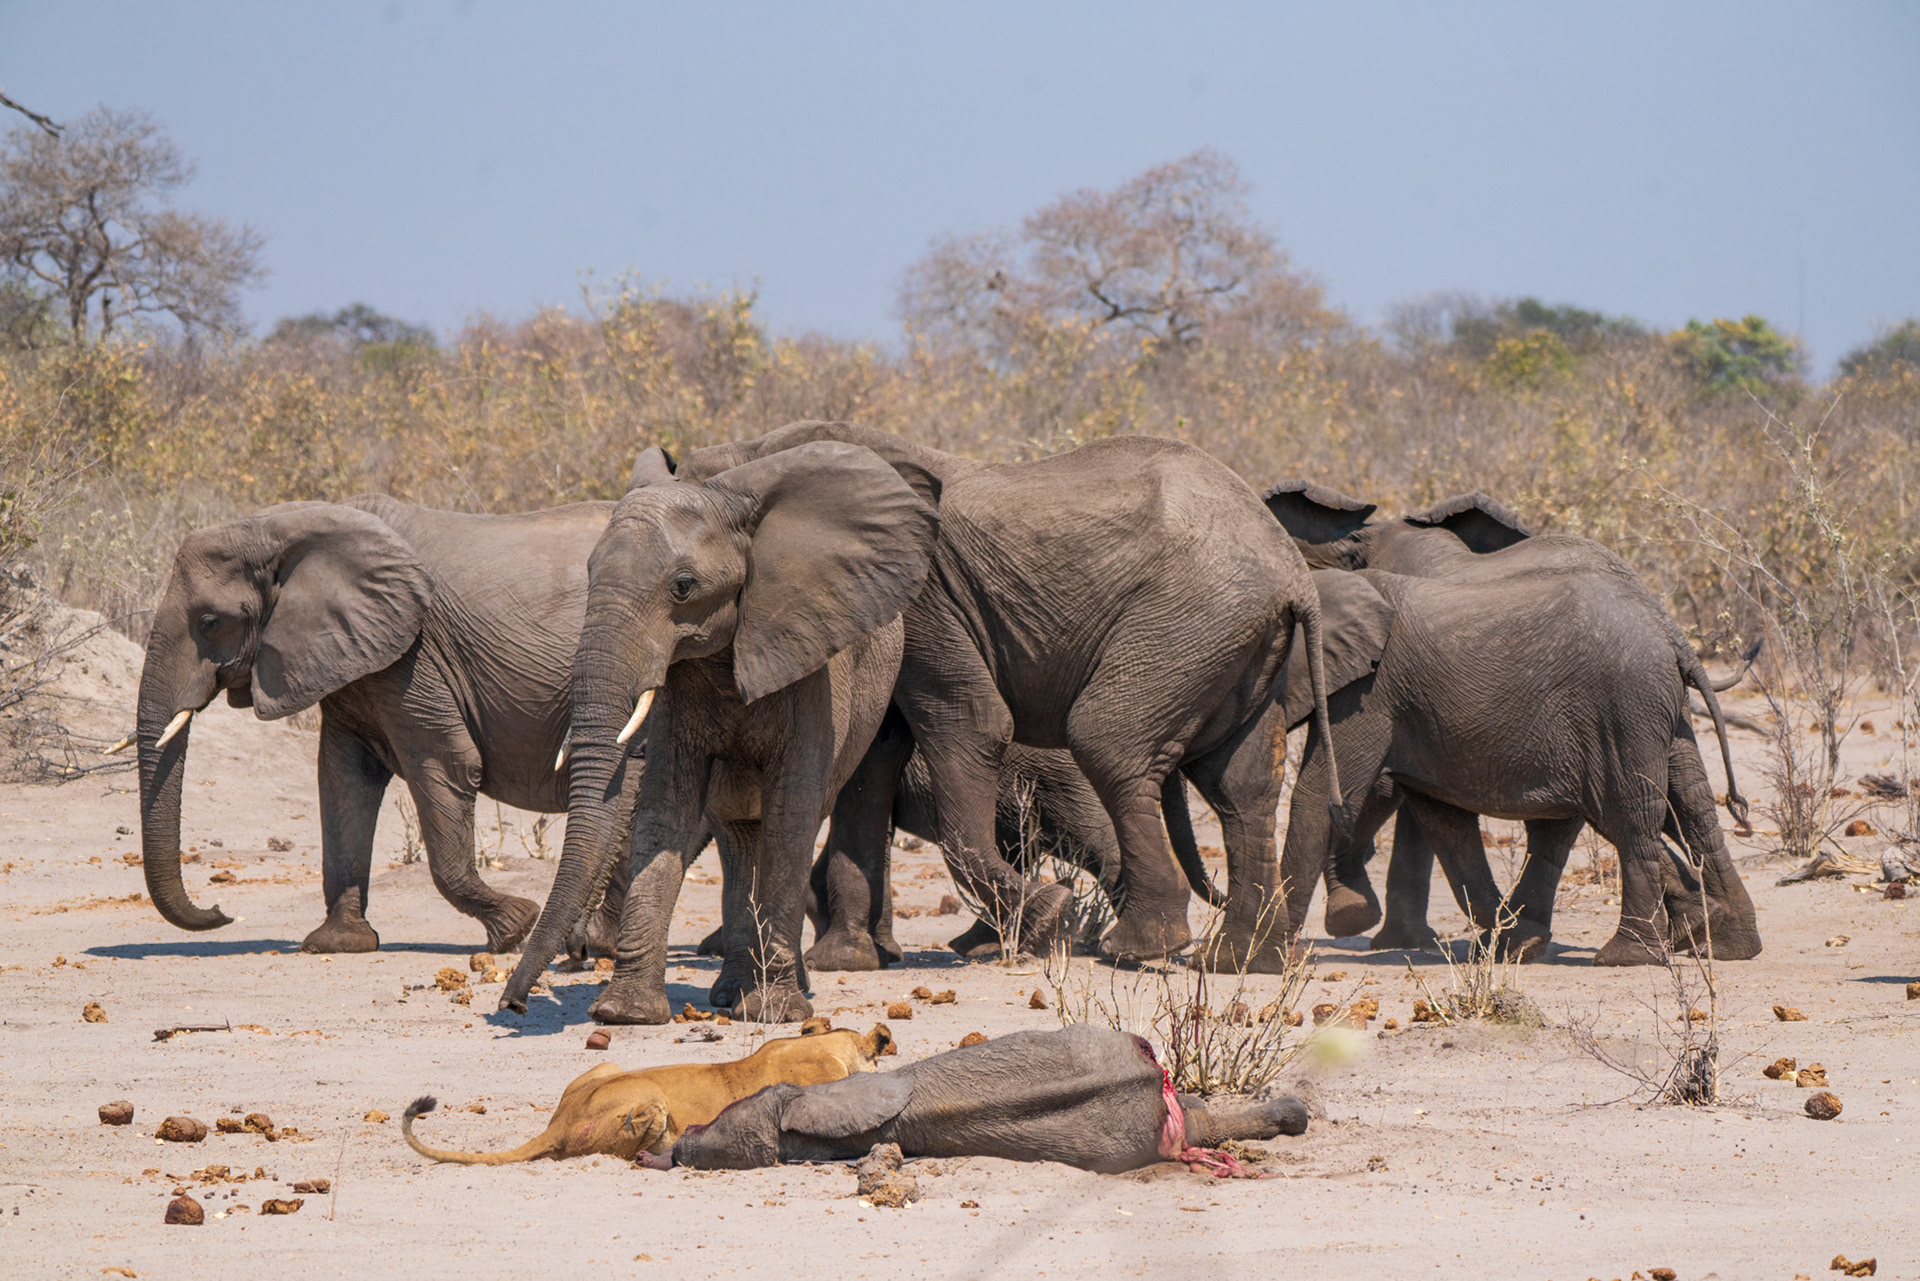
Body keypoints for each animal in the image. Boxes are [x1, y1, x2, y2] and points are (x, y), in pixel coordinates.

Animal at [132, 494, 614, 954]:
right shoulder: (353, 659)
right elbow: (345, 779)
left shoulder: (414, 656)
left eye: (210, 622)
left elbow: (446, 765)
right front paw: (339, 943)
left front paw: (514, 928)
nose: (221, 912)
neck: (281, 527)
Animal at [501, 440, 940, 1025]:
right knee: (738, 838)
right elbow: (666, 804)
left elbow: (792, 811)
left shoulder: (811, 667)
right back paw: (731, 994)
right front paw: (626, 1014)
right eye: (590, 574)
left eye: (683, 587)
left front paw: (778, 1013)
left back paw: (772, 994)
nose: (514, 1004)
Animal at [675, 422, 1340, 972]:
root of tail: (1296, 575)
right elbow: (872, 761)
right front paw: (848, 962)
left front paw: (1049, 915)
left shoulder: (923, 595)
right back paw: (1240, 962)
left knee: (1109, 742)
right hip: (1239, 642)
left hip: (1191, 621)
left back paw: (1137, 948)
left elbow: (974, 725)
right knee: (1242, 784)